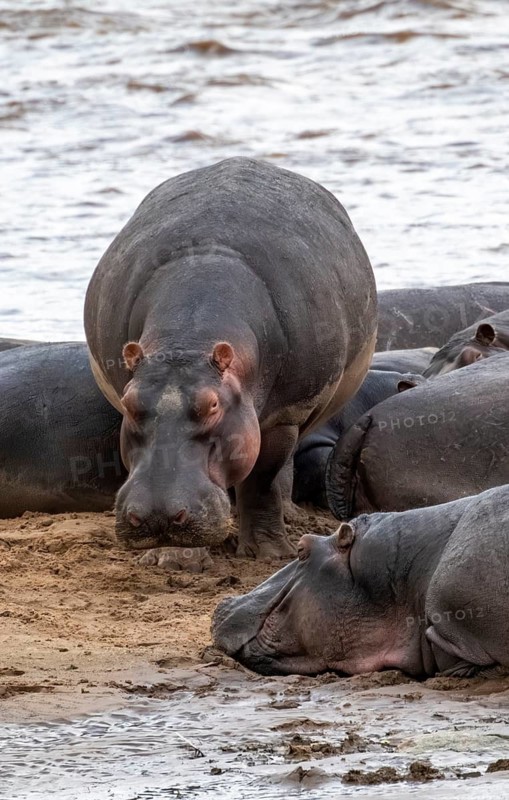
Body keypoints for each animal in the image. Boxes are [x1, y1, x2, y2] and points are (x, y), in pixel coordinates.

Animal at [84, 157, 377, 559]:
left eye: (212, 405)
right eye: (129, 404)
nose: (158, 517)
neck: (187, 337)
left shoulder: (284, 415)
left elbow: (263, 481)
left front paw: (270, 553)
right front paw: (171, 559)